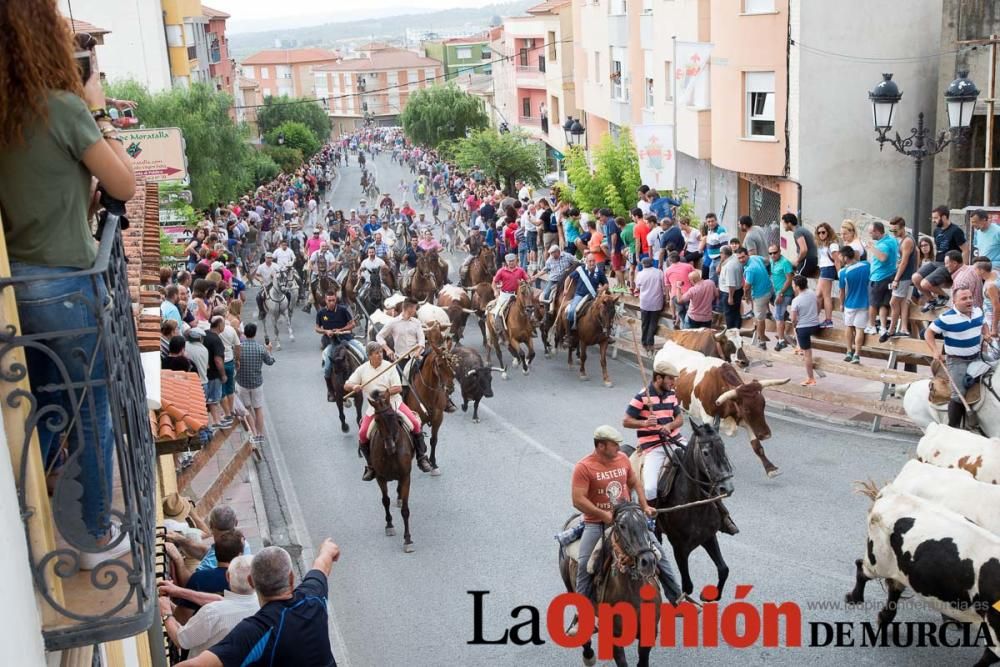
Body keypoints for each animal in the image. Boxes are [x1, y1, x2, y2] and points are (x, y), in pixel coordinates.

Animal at [368, 388, 414, 552]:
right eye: (377, 420)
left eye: (392, 416)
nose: (390, 447)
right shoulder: (380, 478)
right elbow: (385, 501)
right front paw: (389, 525)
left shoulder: (406, 476)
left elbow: (405, 510)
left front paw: (408, 540)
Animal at [402, 344, 458, 474]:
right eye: (440, 365)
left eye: (451, 363)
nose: (450, 388)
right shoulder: (419, 419)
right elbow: (419, 437)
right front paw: (423, 462)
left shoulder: (438, 418)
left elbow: (434, 440)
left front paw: (433, 463)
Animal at [656, 342, 788, 478]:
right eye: (746, 409)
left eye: (763, 404)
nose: (766, 435)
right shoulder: (709, 418)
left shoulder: (743, 419)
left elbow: (756, 445)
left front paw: (770, 468)